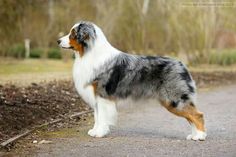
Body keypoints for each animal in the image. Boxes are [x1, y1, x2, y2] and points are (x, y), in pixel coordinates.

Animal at [57, 21, 206, 141]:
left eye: (73, 33)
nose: (58, 41)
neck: (88, 53)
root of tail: (181, 64)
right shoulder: (97, 96)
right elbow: (97, 116)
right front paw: (95, 131)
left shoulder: (102, 94)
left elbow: (102, 116)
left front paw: (100, 133)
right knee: (191, 116)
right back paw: (194, 135)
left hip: (173, 99)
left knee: (197, 115)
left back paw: (199, 136)